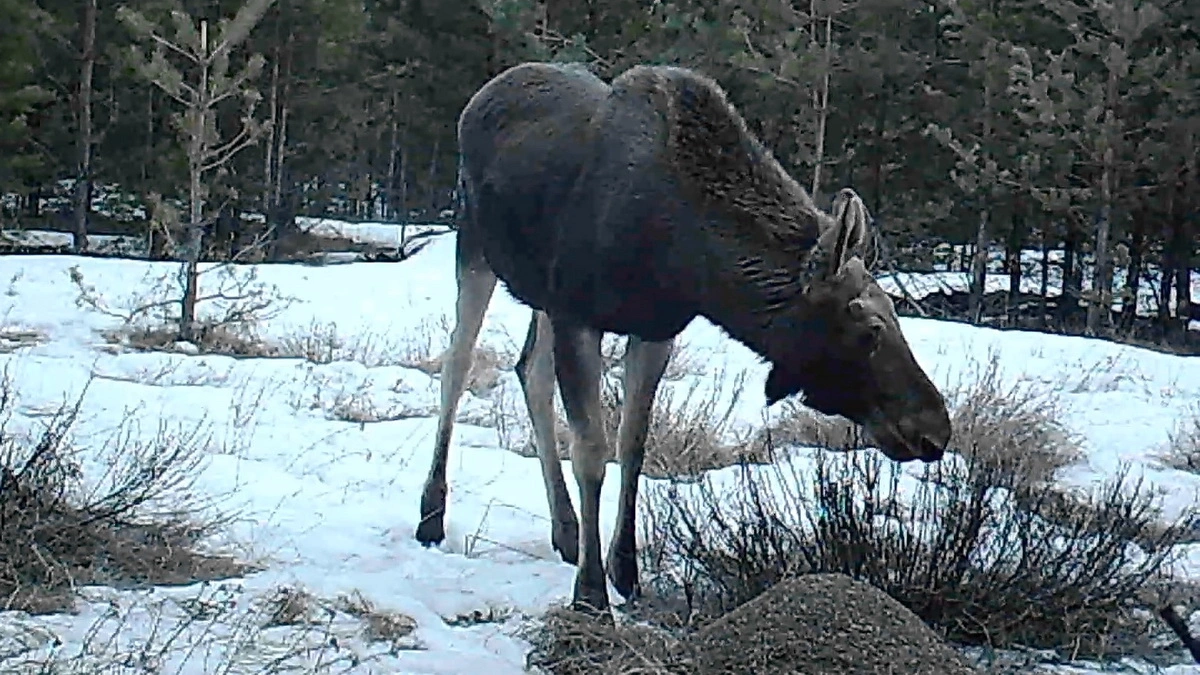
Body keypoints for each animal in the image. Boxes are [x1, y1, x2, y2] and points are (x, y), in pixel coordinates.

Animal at [417, 60, 950, 612]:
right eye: (869, 328)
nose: (935, 429)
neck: (684, 259)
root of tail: (480, 96)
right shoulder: (579, 315)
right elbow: (591, 450)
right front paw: (591, 593)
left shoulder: (653, 329)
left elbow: (632, 447)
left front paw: (625, 572)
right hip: (475, 245)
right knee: (457, 365)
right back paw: (432, 514)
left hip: (541, 290)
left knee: (530, 372)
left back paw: (566, 532)